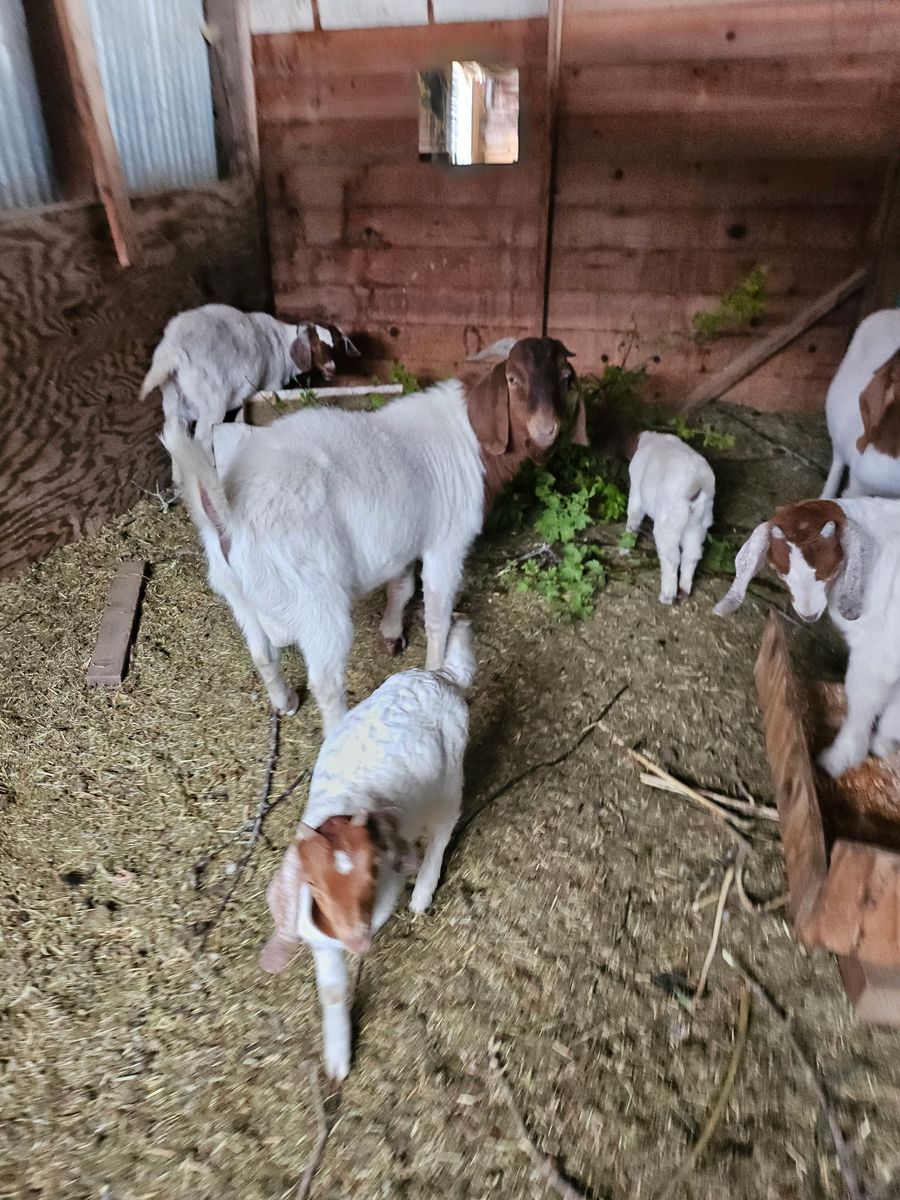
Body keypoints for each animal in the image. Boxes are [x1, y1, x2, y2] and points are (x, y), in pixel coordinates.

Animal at [141, 303, 360, 453]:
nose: (331, 369)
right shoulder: (270, 385)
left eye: (335, 346)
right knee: (201, 441)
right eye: (313, 346)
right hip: (212, 401)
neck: (284, 344)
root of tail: (173, 349)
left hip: (173, 401)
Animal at [162, 338, 583, 733]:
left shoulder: (402, 537)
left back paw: (285, 703)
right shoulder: (446, 542)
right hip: (317, 604)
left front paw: (392, 634)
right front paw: (435, 669)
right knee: (326, 681)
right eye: (513, 379)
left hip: (236, 593)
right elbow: (437, 613)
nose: (546, 430)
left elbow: (401, 587)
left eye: (565, 377)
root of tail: (231, 514)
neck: (469, 435)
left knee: (263, 654)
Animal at [259, 619, 475, 1081]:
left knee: (443, 830)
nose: (358, 942)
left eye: (374, 871)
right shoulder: (318, 935)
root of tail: (440, 677)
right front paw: (337, 1062)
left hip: (450, 778)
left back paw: (422, 894)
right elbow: (333, 992)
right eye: (316, 889)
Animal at [626, 431, 715, 604]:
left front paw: (624, 547)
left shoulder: (636, 494)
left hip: (668, 527)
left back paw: (667, 596)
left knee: (672, 559)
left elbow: (632, 519)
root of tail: (698, 479)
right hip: (698, 526)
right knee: (691, 556)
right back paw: (684, 591)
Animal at [714, 496, 900, 777]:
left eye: (833, 571)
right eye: (780, 571)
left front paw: (838, 759)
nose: (809, 615)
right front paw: (883, 741)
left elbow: (862, 700)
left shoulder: (876, 655)